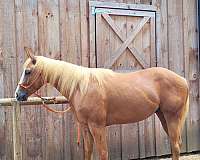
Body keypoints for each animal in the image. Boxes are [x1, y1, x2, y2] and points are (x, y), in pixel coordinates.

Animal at [15, 47, 189, 160]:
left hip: (172, 118)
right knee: (175, 144)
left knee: (175, 146)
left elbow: (103, 153)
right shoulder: (86, 127)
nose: (18, 95)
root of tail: (183, 80)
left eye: (28, 71)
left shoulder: (97, 126)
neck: (82, 87)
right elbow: (88, 152)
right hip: (163, 117)